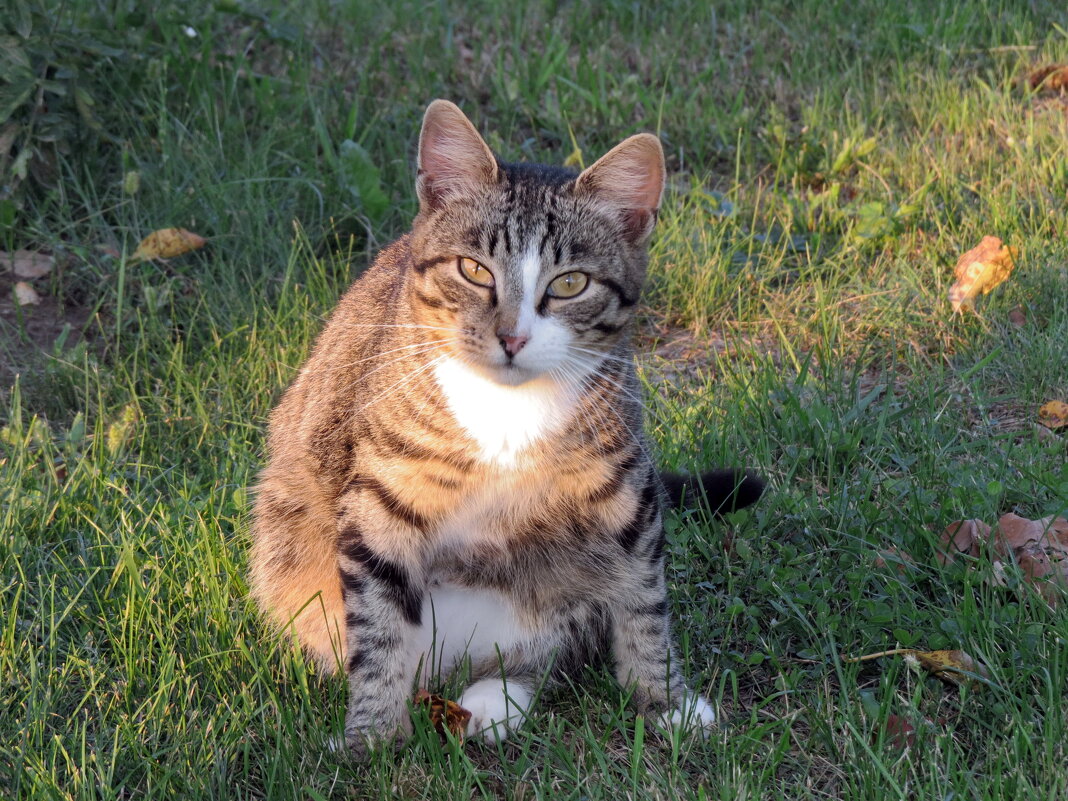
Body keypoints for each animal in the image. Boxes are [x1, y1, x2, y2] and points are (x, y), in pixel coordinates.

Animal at [245, 101, 764, 760]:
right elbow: (381, 624)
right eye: (473, 269)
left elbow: (643, 599)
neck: (508, 409)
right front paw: (373, 734)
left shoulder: (626, 490)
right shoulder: (380, 500)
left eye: (570, 283)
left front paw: (665, 700)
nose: (512, 336)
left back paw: (497, 701)